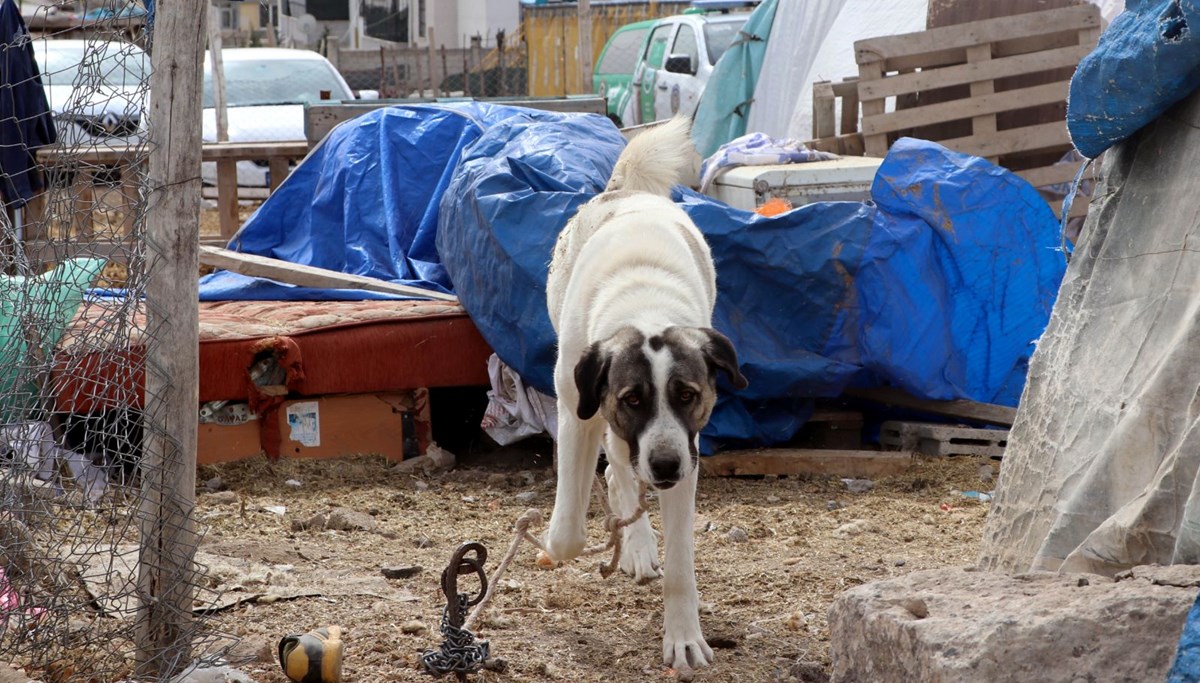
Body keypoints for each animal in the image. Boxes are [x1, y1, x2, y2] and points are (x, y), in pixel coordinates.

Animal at [547, 115, 748, 672]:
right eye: (633, 398)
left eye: (688, 394)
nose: (664, 466)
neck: (644, 305)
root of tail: (625, 190)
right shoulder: (581, 413)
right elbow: (570, 527)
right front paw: (555, 544)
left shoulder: (686, 453)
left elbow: (681, 565)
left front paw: (683, 638)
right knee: (616, 470)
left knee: (622, 471)